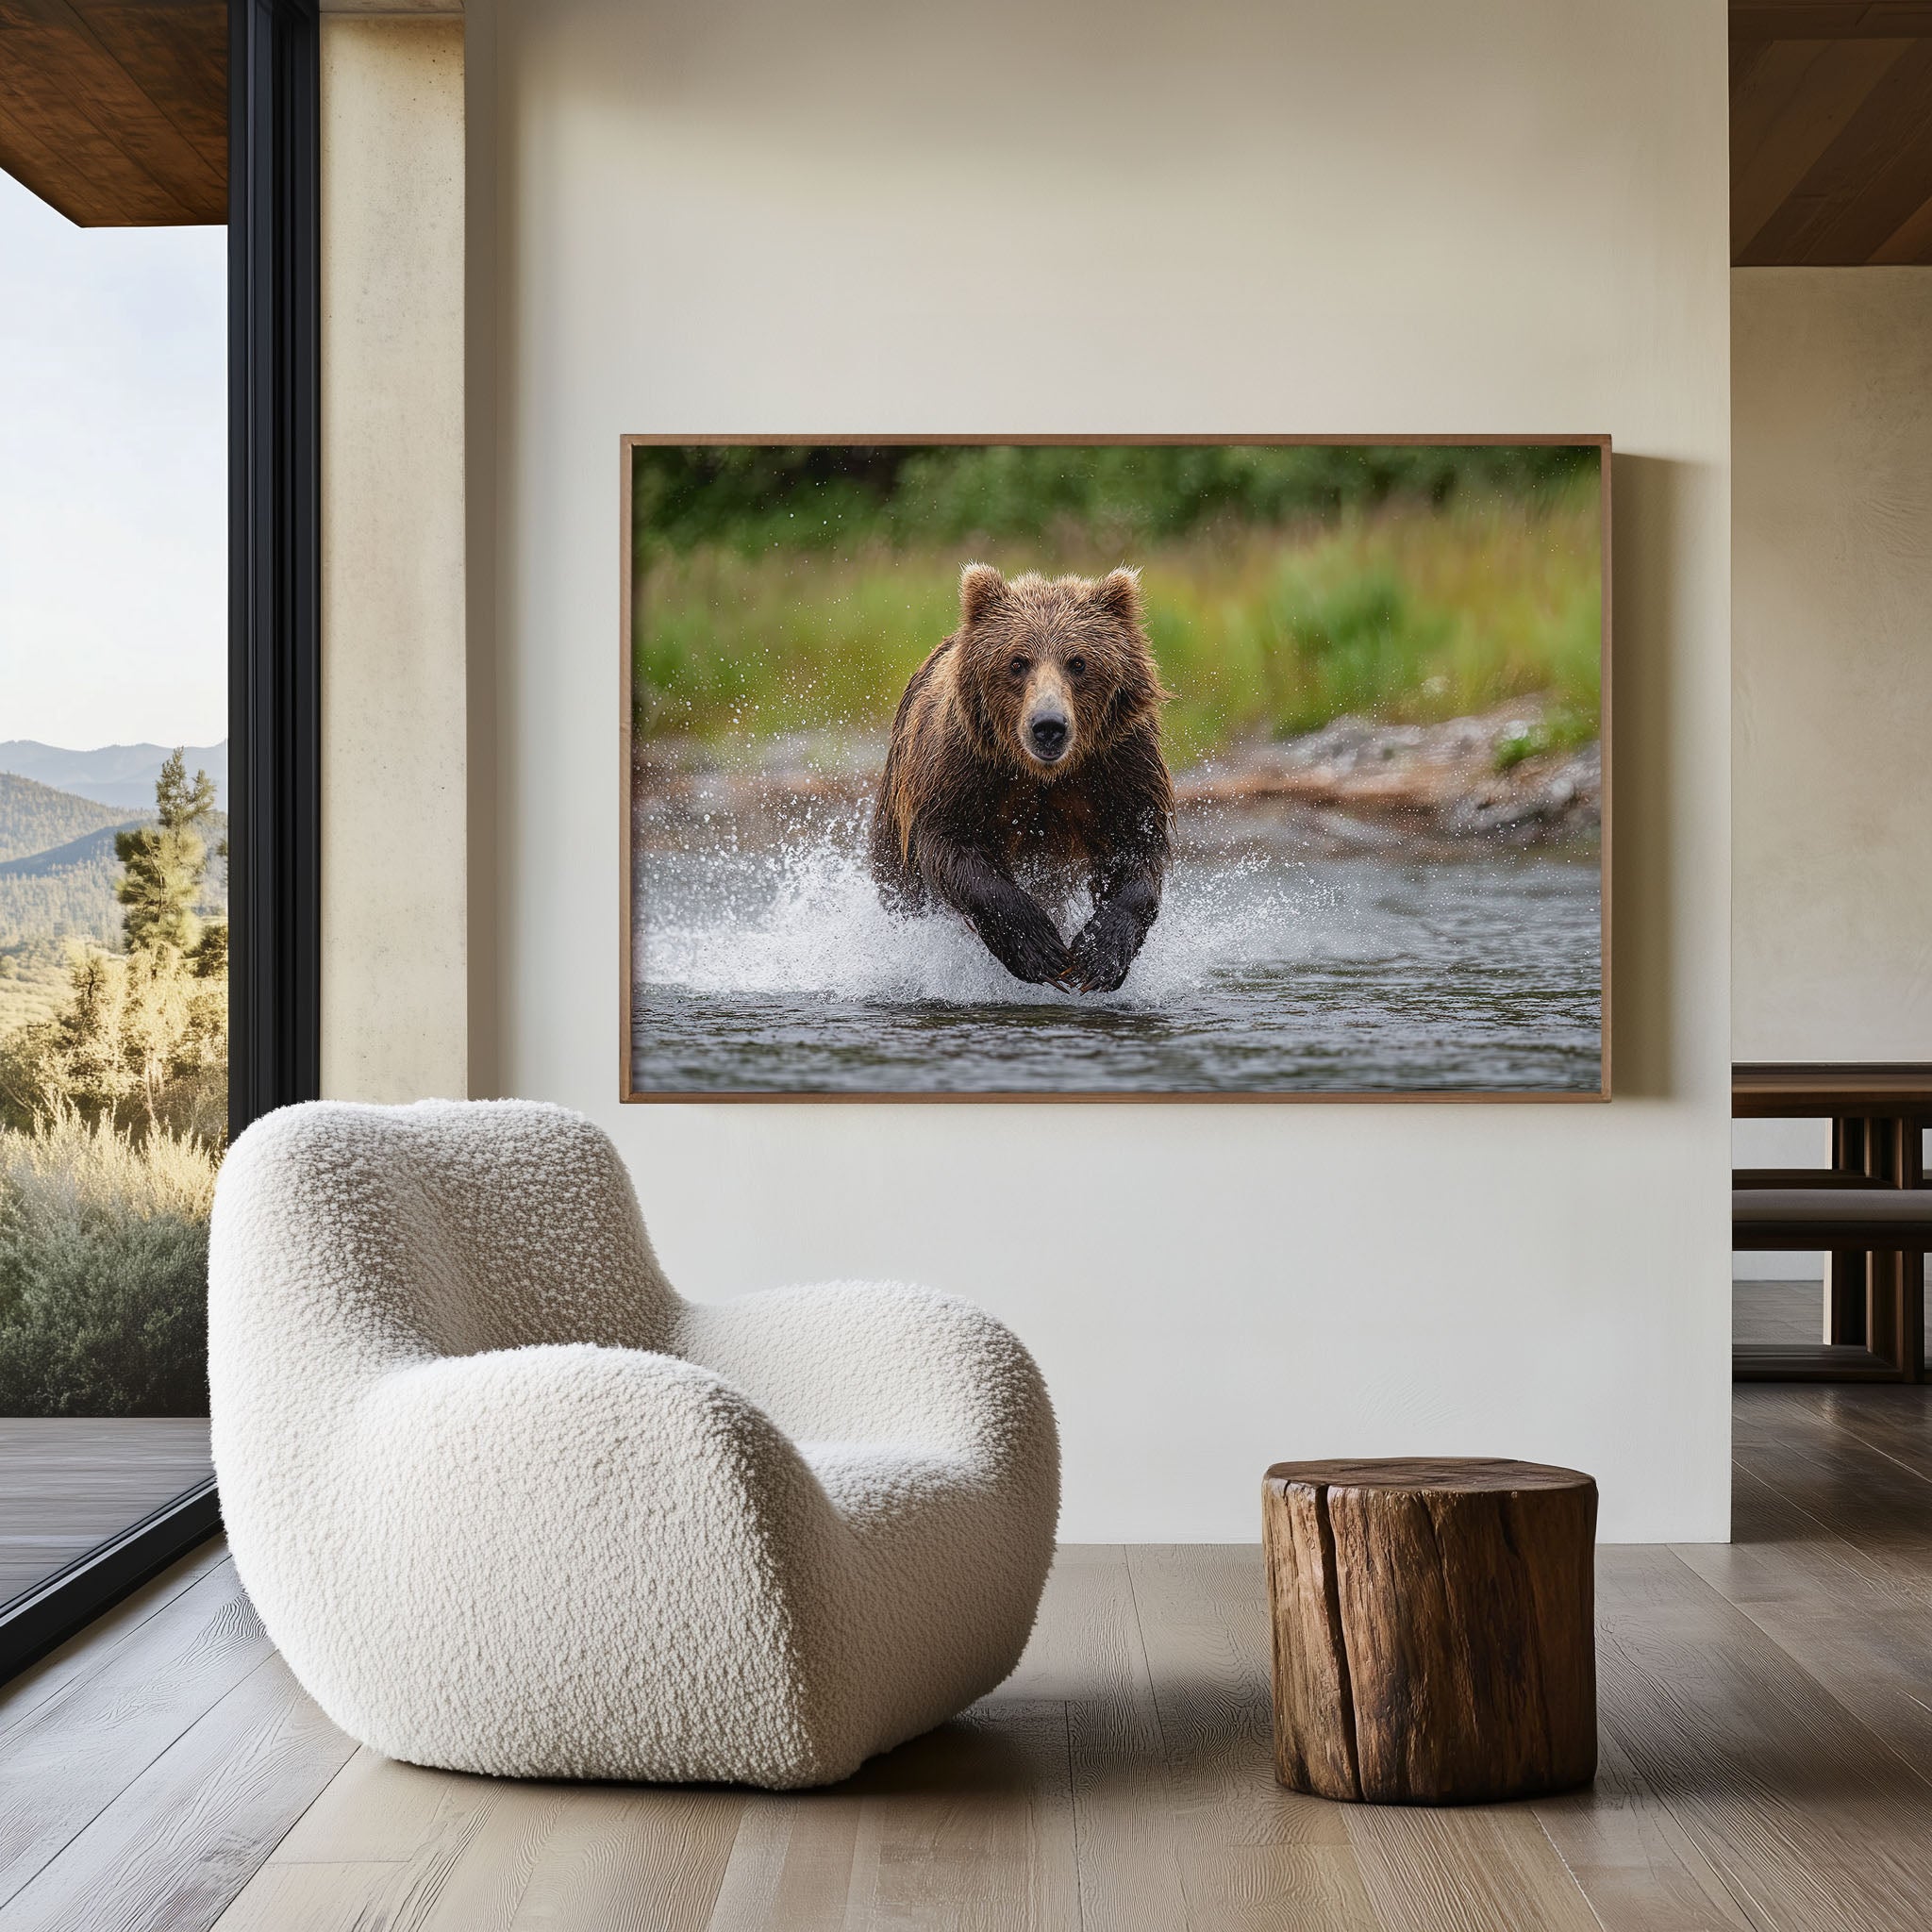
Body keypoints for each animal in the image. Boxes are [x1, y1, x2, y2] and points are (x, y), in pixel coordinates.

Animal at [868, 562, 1173, 993]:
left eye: (1078, 662)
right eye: (1017, 661)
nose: (1048, 726)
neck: (1044, 773)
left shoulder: (1119, 764)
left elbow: (1136, 848)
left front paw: (1098, 956)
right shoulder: (963, 765)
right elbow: (952, 844)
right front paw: (1040, 949)